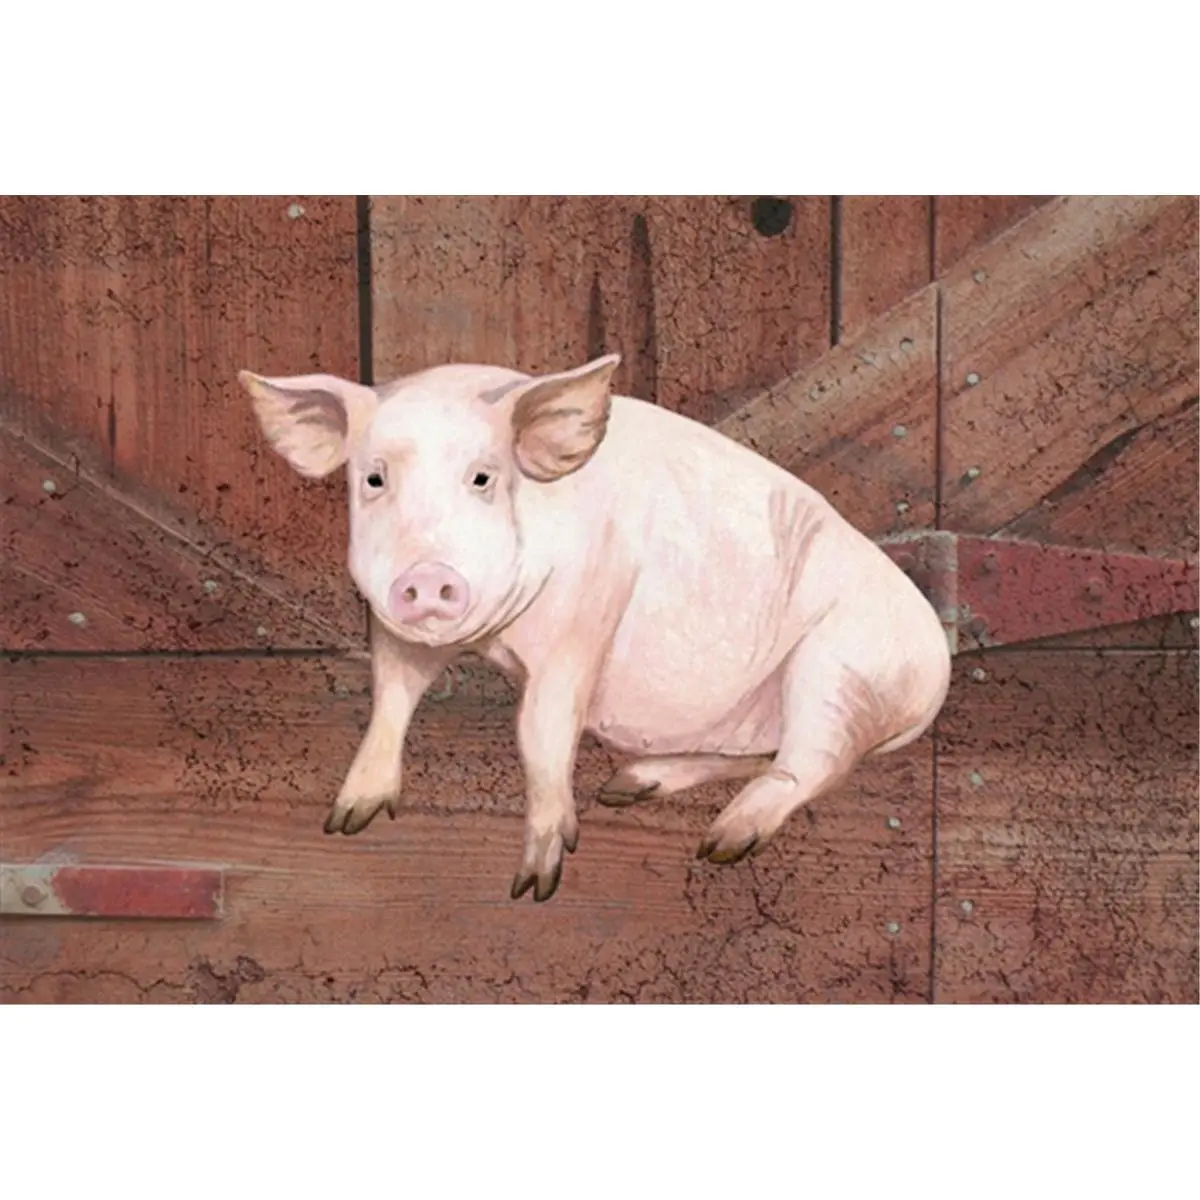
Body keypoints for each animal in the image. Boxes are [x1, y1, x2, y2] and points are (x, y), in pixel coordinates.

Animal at [238, 353, 951, 902]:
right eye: (374, 477)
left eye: (483, 477)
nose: (429, 576)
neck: (490, 643)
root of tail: (937, 669)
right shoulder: (396, 628)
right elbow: (391, 697)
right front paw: (345, 820)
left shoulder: (586, 616)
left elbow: (541, 731)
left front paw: (535, 884)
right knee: (770, 754)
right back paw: (629, 786)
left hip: (841, 667)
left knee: (812, 763)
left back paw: (720, 842)